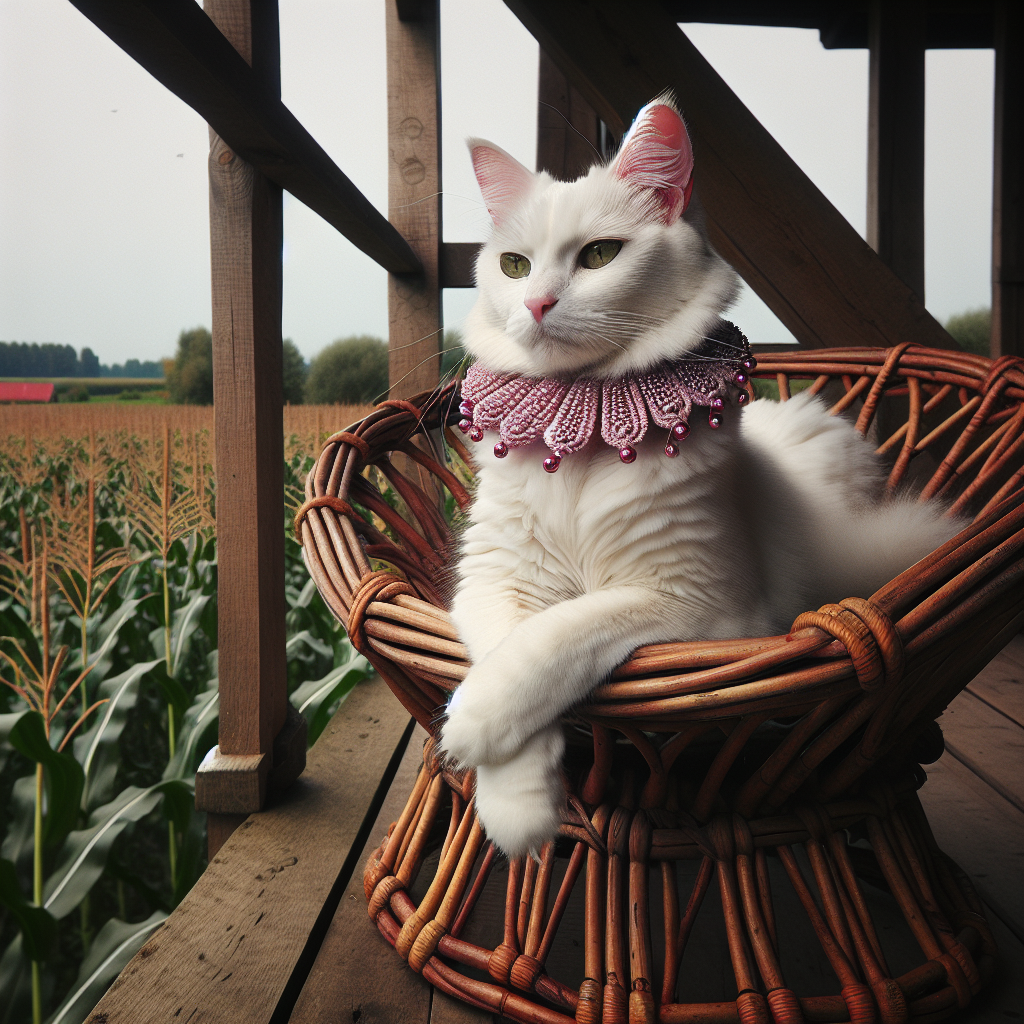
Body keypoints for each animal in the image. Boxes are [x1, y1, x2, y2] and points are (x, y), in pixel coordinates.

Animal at [440, 97, 958, 864]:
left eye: (599, 256)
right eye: (513, 265)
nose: (534, 305)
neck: (585, 427)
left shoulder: (701, 608)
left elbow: (554, 639)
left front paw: (472, 724)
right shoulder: (495, 581)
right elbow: (509, 645)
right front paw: (517, 808)